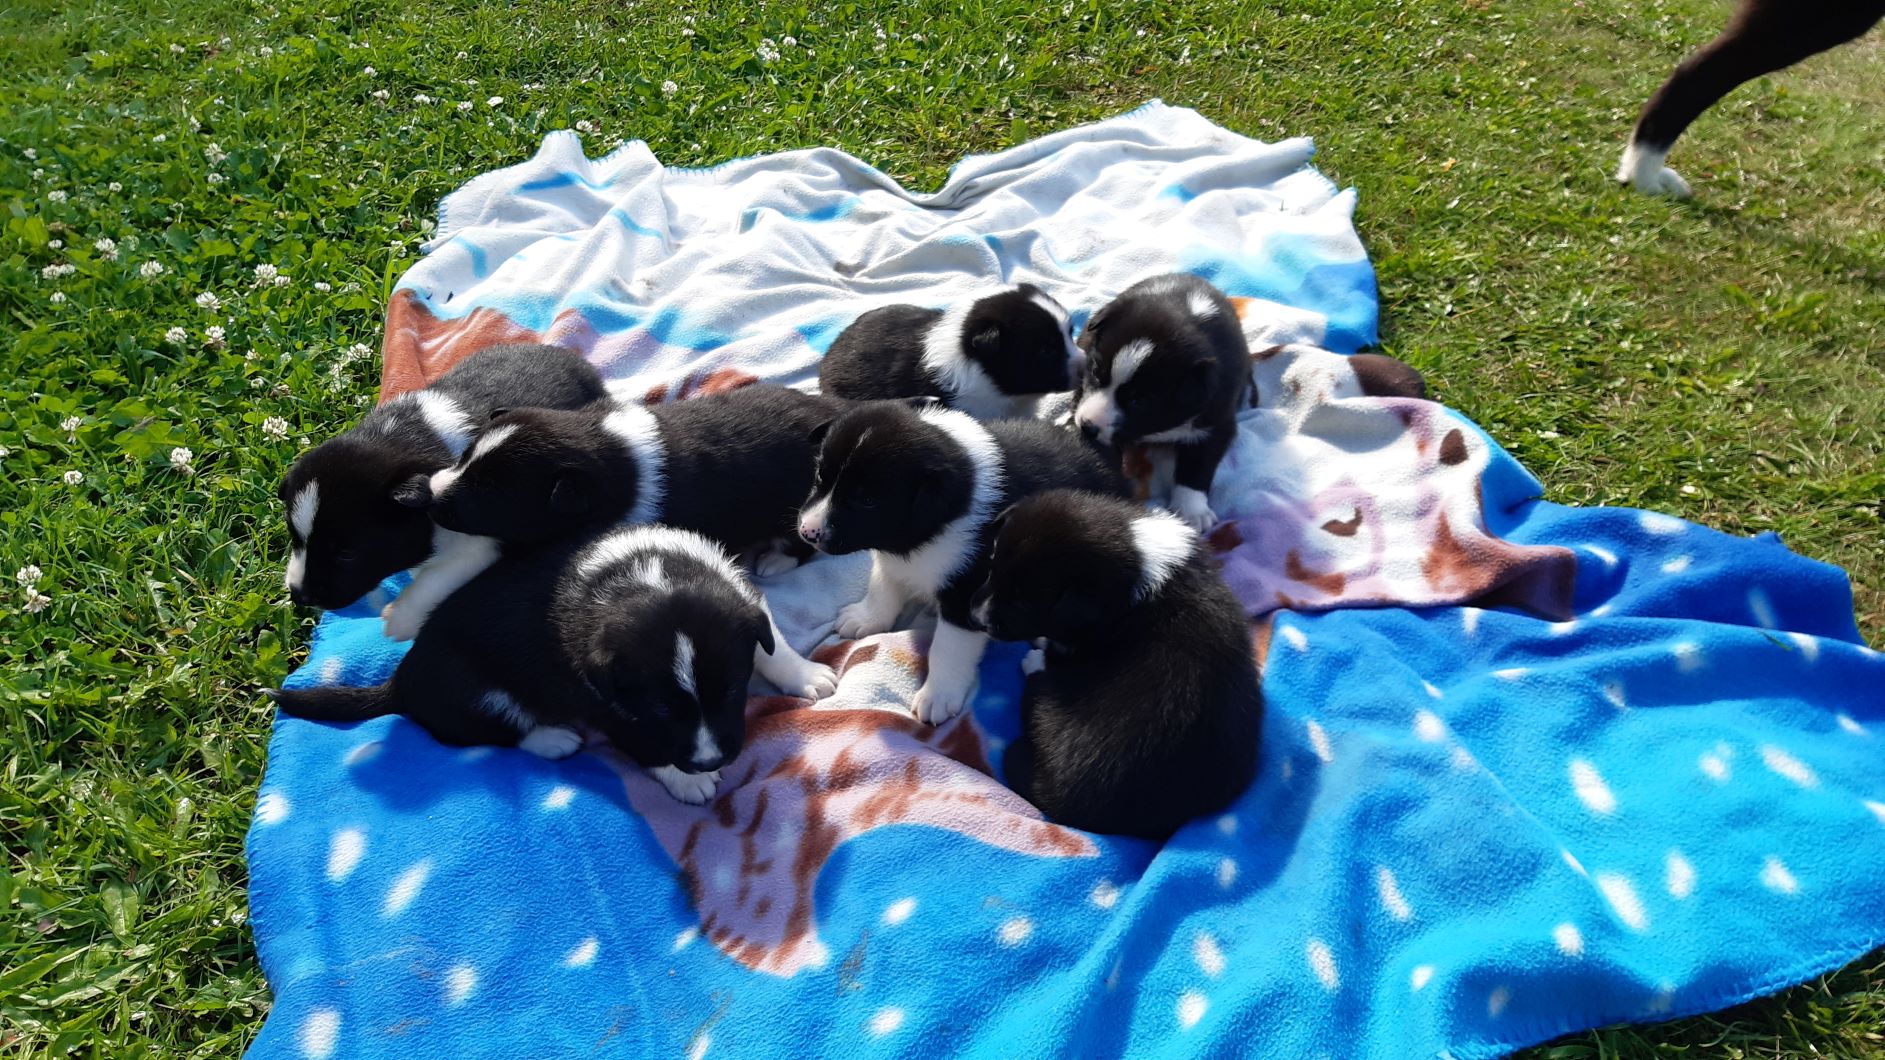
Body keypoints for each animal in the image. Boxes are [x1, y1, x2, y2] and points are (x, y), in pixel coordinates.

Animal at [271, 525, 839, 804]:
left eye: (732, 692)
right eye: (661, 710)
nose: (706, 761)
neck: (646, 574)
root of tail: (400, 682)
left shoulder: (743, 602)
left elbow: (771, 639)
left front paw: (805, 676)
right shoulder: (603, 697)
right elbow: (640, 740)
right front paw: (684, 780)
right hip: (474, 689)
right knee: (479, 731)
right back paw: (553, 738)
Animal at [279, 343, 605, 625]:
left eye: (347, 554)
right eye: (295, 538)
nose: (298, 594)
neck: (394, 439)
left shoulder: (479, 543)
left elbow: (435, 580)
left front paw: (399, 619)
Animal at [796, 401, 1127, 724]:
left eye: (867, 501)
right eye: (819, 477)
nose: (808, 532)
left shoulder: (969, 590)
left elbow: (948, 647)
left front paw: (938, 696)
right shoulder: (893, 554)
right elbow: (884, 583)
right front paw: (867, 617)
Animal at [969, 490, 1262, 839]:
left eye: (1025, 603)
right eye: (991, 567)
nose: (976, 617)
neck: (1134, 560)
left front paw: (1043, 647)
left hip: (1053, 706)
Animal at [1072, 273, 1251, 532]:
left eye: (1138, 401)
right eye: (1096, 372)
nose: (1087, 425)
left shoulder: (1217, 420)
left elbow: (1198, 465)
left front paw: (1192, 510)